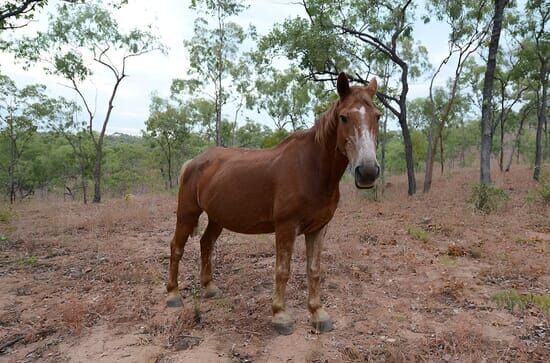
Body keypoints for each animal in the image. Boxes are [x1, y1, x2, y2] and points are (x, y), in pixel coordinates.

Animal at [166, 72, 382, 336]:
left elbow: (314, 270)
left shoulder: (319, 228)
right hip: (187, 213)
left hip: (217, 217)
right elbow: (282, 270)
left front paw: (318, 313)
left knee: (206, 244)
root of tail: (193, 162)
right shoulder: (286, 227)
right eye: (344, 117)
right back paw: (173, 295)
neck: (311, 169)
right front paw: (280, 315)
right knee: (177, 247)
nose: (368, 171)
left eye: (377, 116)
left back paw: (209, 288)